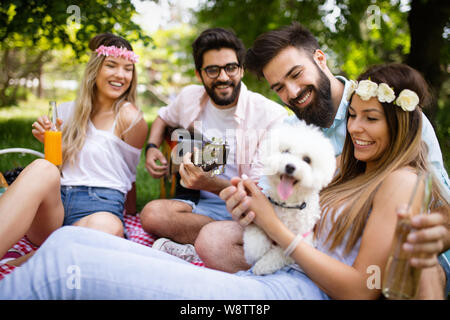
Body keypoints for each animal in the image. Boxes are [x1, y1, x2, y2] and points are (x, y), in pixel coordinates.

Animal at [244, 120, 336, 276]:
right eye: (285, 151)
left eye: (307, 159)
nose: (290, 167)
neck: (287, 204)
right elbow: (256, 235)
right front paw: (254, 250)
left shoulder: (304, 240)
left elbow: (281, 253)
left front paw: (262, 265)